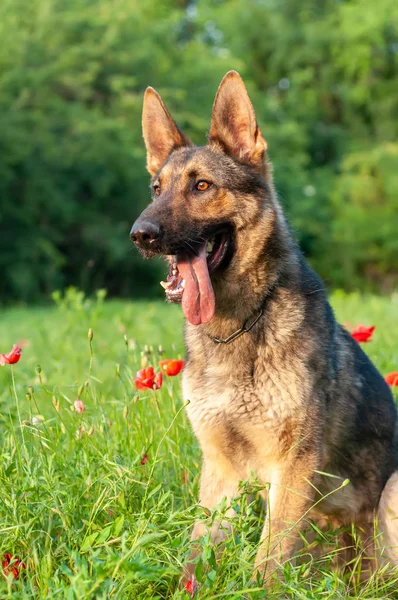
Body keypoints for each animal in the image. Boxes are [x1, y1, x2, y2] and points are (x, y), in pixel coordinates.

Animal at [131, 71, 398, 584]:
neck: (237, 325)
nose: (141, 235)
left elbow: (268, 561)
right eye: (156, 189)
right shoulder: (221, 471)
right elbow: (197, 553)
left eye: (202, 185)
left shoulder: (293, 466)